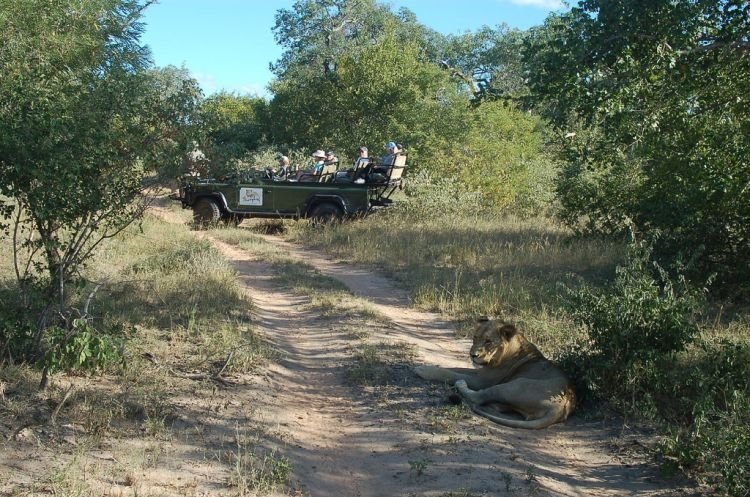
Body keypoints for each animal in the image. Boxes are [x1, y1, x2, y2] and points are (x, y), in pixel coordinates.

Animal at [418, 320, 576, 428]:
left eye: (488, 341)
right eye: (475, 337)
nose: (472, 355)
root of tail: (562, 405)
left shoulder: (483, 381)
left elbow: (451, 373)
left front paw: (422, 370)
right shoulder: (481, 372)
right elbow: (455, 368)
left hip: (513, 385)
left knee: (478, 396)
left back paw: (461, 386)